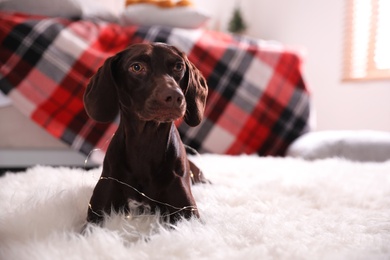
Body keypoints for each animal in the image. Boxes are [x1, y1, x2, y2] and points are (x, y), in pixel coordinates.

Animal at [84, 42, 209, 223]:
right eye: (136, 67)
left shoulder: (188, 214)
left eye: (178, 66)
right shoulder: (96, 214)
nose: (174, 96)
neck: (146, 142)